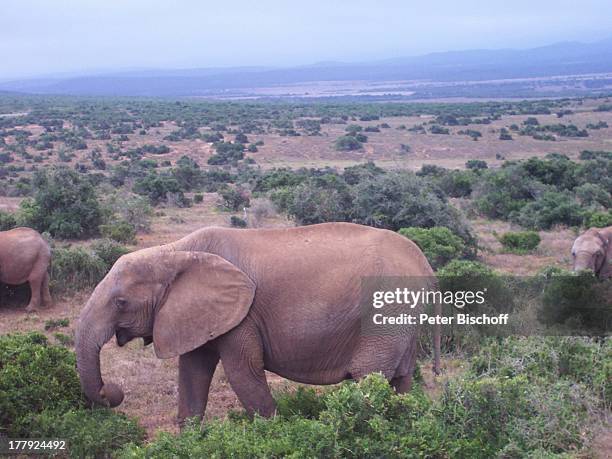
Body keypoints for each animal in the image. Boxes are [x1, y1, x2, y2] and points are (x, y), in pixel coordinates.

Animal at [76, 223, 440, 424]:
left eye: (121, 302)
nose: (113, 390)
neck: (175, 251)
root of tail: (426, 265)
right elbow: (193, 371)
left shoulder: (243, 315)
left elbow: (243, 371)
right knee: (401, 380)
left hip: (385, 311)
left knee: (370, 378)